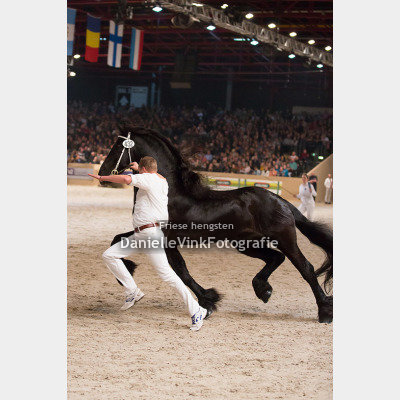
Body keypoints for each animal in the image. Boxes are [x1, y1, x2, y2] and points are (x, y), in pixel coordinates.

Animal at [98, 125, 333, 323]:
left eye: (118, 147)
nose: (102, 173)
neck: (168, 193)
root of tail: (281, 200)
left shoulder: (167, 240)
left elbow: (181, 271)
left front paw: (208, 300)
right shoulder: (148, 234)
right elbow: (117, 239)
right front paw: (128, 272)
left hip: (284, 239)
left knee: (306, 268)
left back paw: (324, 312)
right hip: (246, 244)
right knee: (276, 257)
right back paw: (263, 290)